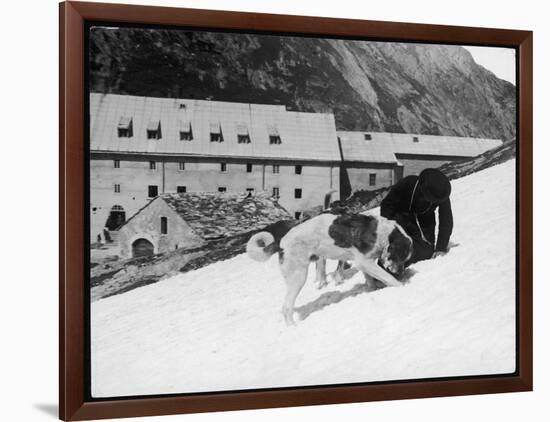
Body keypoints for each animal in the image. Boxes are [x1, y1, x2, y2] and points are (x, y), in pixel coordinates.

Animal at [247, 213, 414, 324]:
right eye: (401, 256)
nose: (401, 272)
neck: (384, 233)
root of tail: (281, 241)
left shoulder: (365, 263)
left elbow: (370, 280)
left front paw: (373, 290)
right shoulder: (364, 261)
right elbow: (387, 277)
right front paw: (401, 286)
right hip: (298, 277)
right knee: (286, 307)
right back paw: (293, 327)